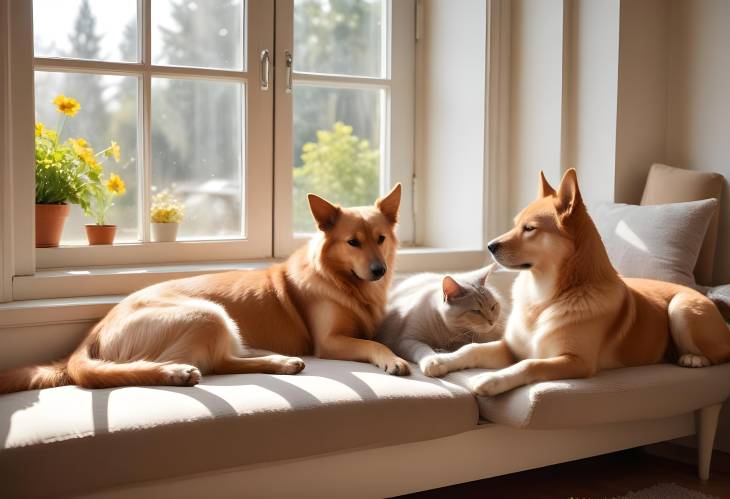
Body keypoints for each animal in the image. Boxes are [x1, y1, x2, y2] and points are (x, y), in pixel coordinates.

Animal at [0, 184, 410, 394]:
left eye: (380, 238)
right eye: (353, 242)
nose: (379, 270)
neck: (343, 281)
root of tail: (94, 332)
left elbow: (376, 335)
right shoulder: (329, 341)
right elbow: (373, 344)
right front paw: (391, 358)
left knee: (224, 360)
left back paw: (276, 360)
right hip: (207, 313)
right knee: (210, 364)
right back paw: (180, 372)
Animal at [416, 170, 728, 396]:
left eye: (529, 229)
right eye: (516, 223)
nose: (490, 246)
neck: (544, 297)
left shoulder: (575, 361)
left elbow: (529, 364)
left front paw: (493, 381)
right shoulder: (510, 347)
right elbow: (472, 349)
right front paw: (440, 361)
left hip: (682, 308)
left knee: (721, 353)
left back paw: (693, 358)